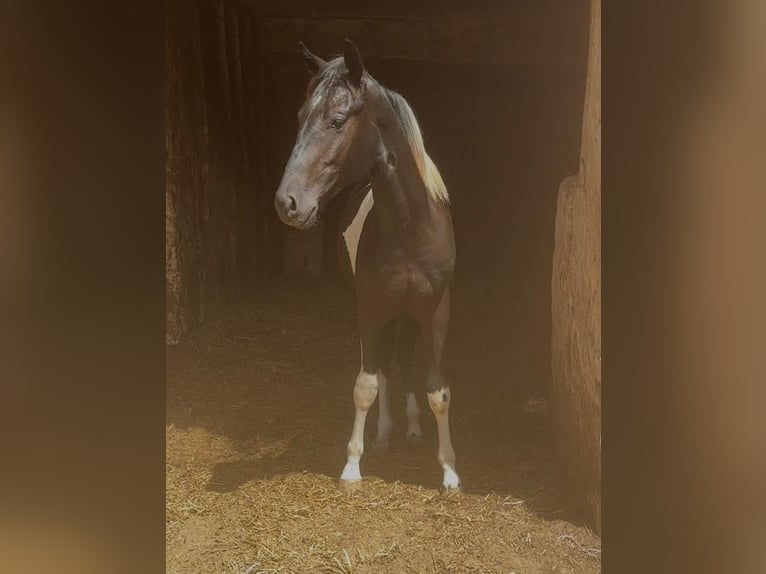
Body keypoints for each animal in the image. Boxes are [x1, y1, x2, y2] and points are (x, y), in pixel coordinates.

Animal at [274, 39, 460, 492]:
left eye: (337, 120)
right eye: (301, 117)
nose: (288, 202)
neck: (410, 227)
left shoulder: (436, 310)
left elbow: (438, 391)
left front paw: (449, 469)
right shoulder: (371, 306)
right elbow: (365, 385)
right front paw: (352, 464)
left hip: (408, 313)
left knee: (403, 359)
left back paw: (412, 428)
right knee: (384, 367)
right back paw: (385, 432)